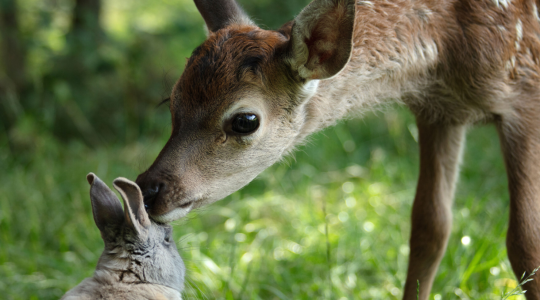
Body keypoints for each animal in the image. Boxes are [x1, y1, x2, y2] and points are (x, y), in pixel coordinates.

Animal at [136, 0, 540, 298]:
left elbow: (525, 242)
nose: (149, 189)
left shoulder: (524, 95)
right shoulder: (440, 112)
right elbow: (430, 229)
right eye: (171, 101)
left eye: (245, 120)